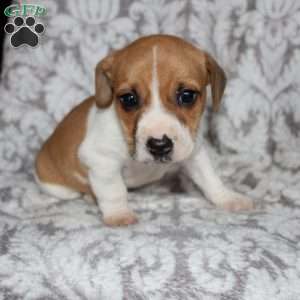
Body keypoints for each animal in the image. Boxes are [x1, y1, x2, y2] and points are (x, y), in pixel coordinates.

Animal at [36, 34, 254, 225]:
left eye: (187, 96)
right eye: (128, 99)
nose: (159, 145)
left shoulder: (194, 152)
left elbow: (210, 179)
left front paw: (227, 198)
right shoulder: (102, 160)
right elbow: (114, 190)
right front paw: (118, 214)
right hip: (59, 188)